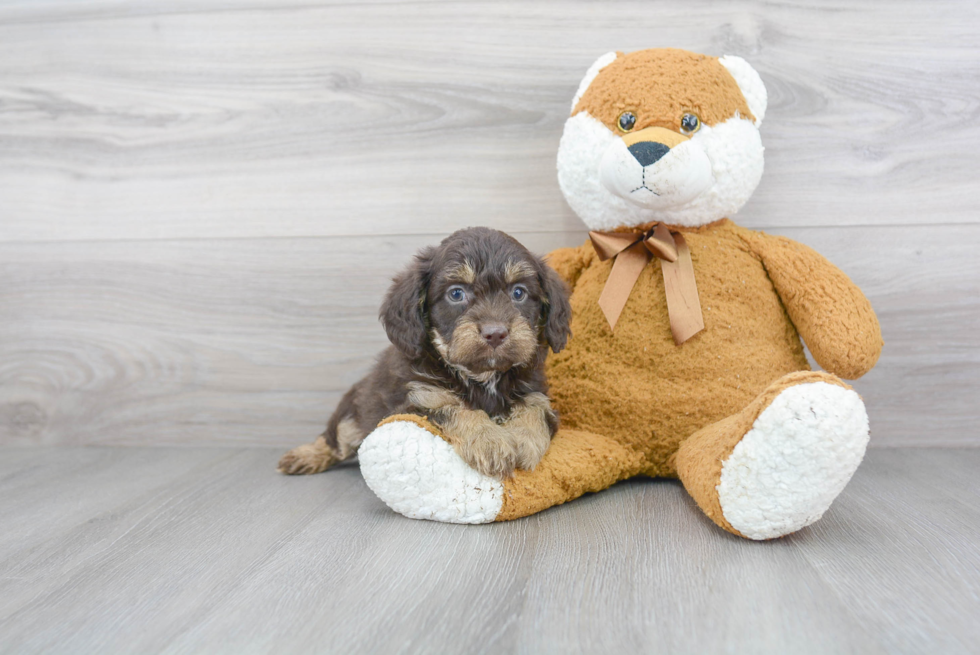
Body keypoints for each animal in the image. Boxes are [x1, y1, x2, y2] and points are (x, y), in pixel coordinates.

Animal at [276, 228, 572, 480]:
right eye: (456, 293)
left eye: (519, 292)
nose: (495, 333)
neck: (482, 376)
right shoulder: (418, 402)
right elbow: (454, 408)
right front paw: (490, 441)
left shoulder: (537, 392)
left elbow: (535, 410)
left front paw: (522, 438)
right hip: (354, 411)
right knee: (335, 437)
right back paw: (306, 455)